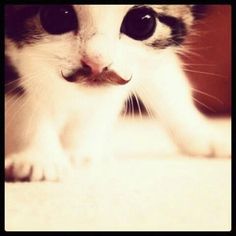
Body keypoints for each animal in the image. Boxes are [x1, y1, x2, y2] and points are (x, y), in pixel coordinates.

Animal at [5, 4, 230, 181]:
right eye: (57, 16)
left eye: (141, 23)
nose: (97, 62)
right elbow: (23, 100)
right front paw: (37, 156)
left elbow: (167, 87)